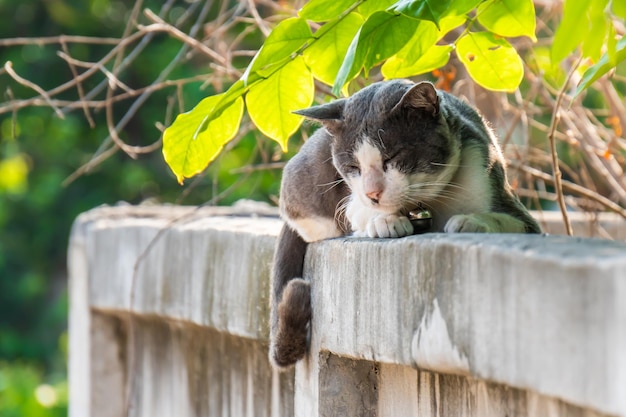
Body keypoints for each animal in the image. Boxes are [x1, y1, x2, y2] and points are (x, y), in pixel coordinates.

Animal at [270, 78, 540, 368]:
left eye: (392, 158)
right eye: (353, 167)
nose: (372, 193)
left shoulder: (489, 175)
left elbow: (507, 220)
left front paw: (470, 221)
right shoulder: (348, 199)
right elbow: (355, 209)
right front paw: (385, 220)